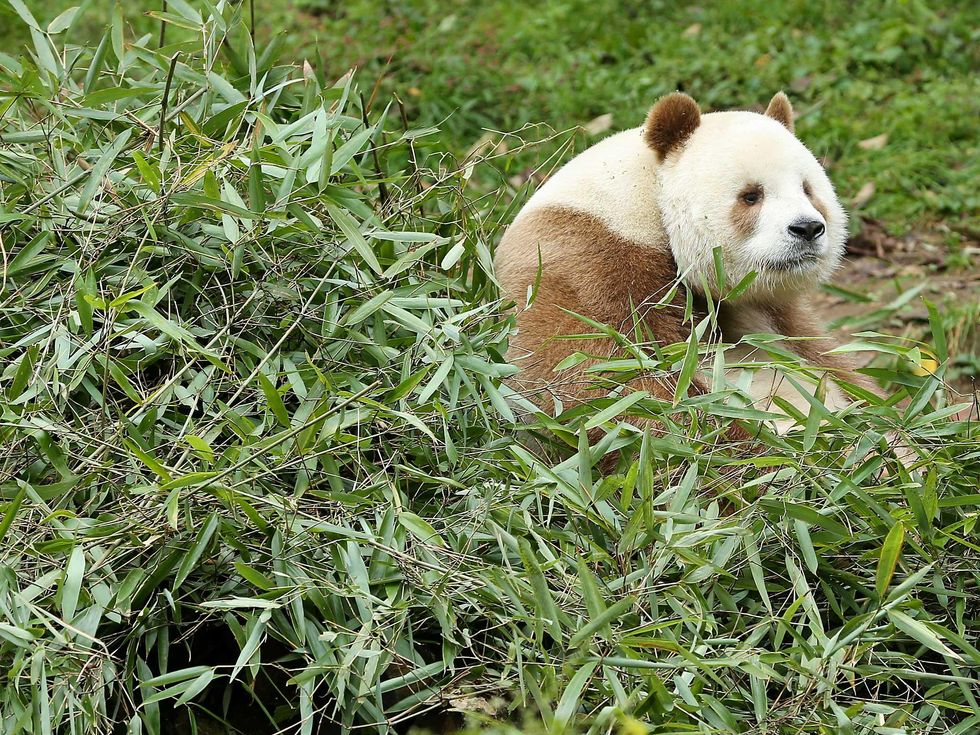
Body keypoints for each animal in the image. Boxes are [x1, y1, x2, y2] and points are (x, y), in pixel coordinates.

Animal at [494, 91, 883, 438]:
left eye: (807, 190)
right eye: (751, 196)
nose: (807, 228)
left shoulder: (774, 313)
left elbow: (830, 363)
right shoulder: (589, 268)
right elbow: (614, 390)